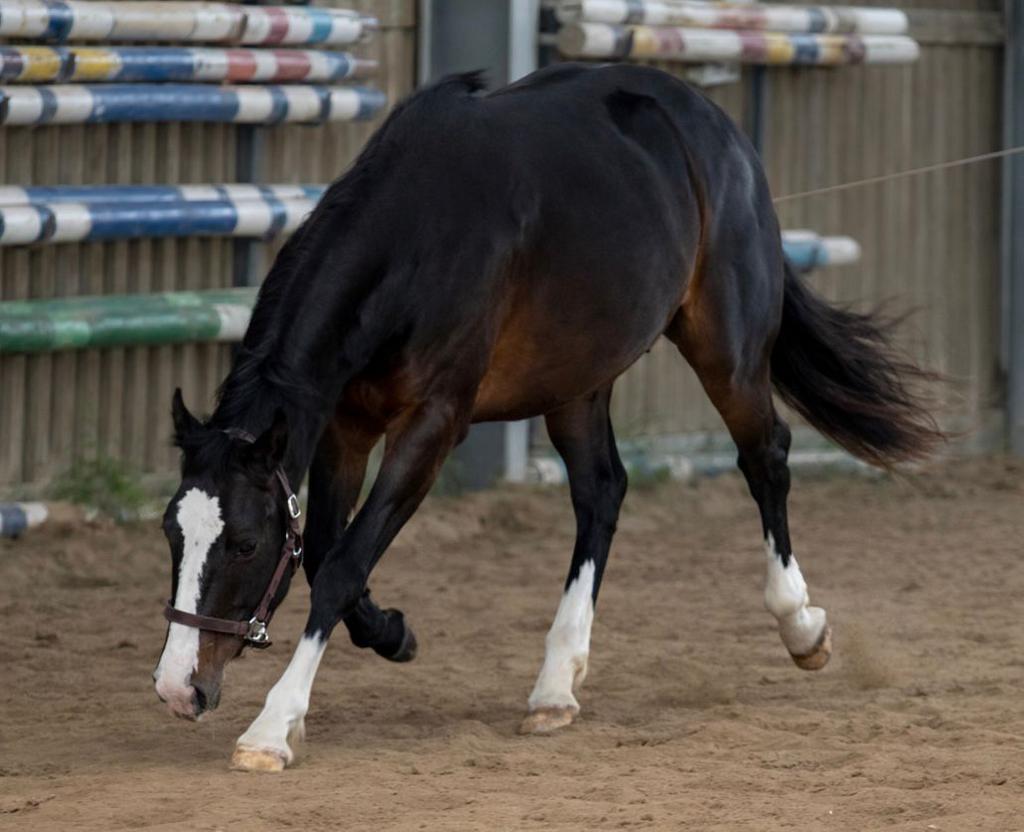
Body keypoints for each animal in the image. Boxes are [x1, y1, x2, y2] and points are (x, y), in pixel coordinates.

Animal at [153, 63, 941, 772]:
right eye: (172, 534)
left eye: (245, 544)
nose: (176, 689)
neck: (416, 237)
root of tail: (715, 127)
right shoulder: (345, 424)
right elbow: (323, 553)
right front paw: (393, 632)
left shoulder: (434, 423)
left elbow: (345, 562)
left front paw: (272, 728)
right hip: (576, 384)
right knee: (602, 492)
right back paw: (556, 687)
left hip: (728, 349)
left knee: (765, 458)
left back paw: (801, 626)